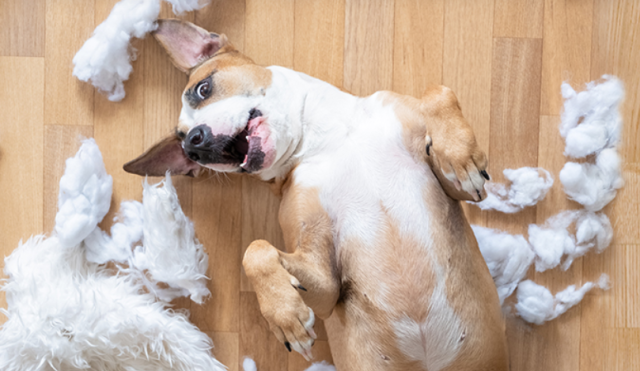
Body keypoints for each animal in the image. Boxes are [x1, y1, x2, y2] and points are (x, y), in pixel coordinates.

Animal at [122, 19, 508, 371]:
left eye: (203, 89)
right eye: (184, 150)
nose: (193, 144)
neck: (332, 138)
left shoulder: (455, 189)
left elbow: (437, 91)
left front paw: (460, 157)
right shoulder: (327, 284)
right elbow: (255, 251)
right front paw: (286, 316)